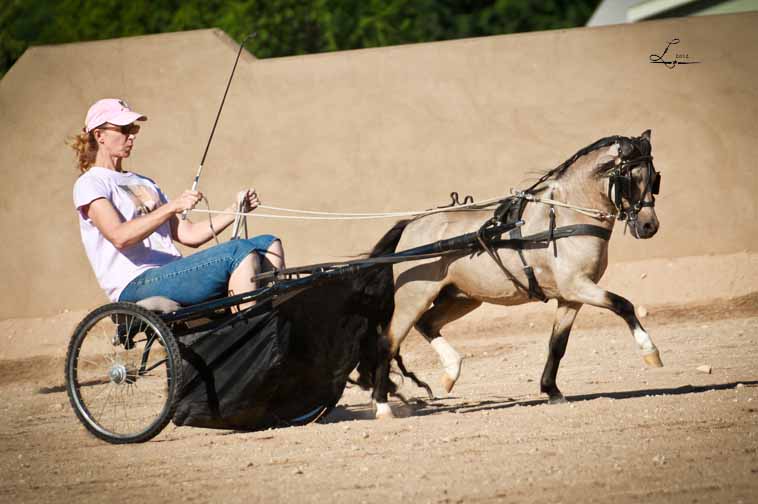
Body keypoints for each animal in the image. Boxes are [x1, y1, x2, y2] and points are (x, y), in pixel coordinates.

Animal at [369, 130, 662, 419]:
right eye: (632, 179)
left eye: (654, 179)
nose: (650, 226)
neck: (566, 216)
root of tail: (411, 226)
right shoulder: (577, 286)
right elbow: (623, 304)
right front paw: (650, 351)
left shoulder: (570, 298)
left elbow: (557, 344)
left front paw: (552, 390)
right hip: (413, 298)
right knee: (388, 343)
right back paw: (383, 405)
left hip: (461, 298)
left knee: (427, 324)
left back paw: (451, 371)